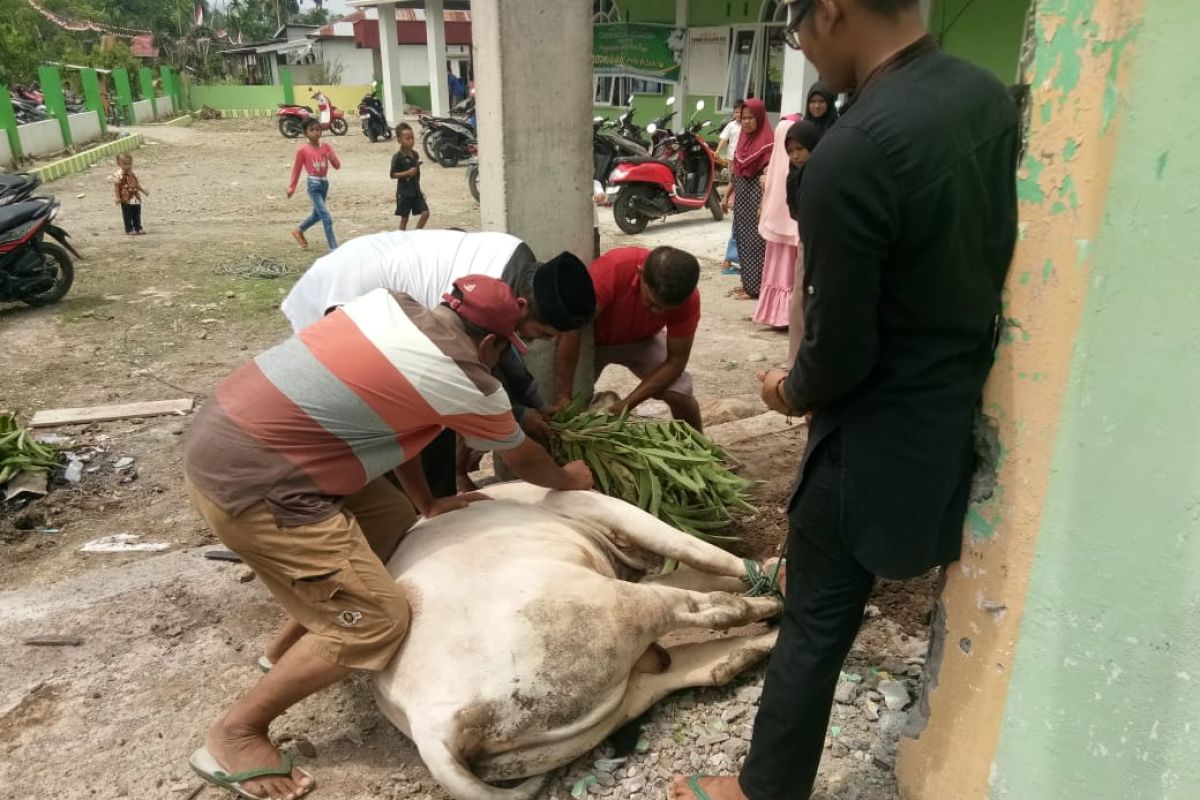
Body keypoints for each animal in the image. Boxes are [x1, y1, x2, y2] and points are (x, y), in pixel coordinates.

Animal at [376, 482, 787, 800]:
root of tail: (431, 726)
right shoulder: (594, 504)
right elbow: (696, 550)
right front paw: (766, 572)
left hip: (604, 699)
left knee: (699, 670)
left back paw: (759, 640)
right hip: (612, 608)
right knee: (709, 609)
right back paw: (770, 603)